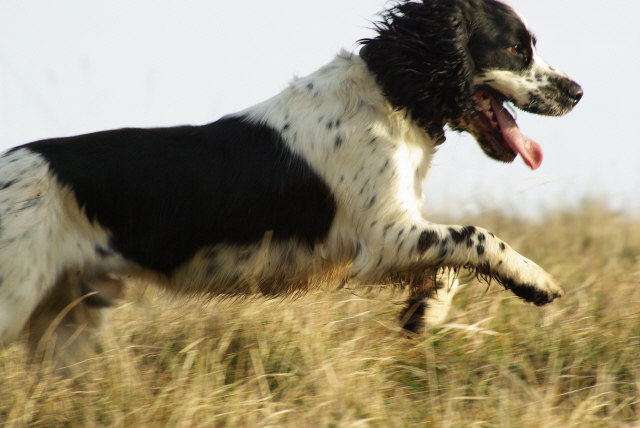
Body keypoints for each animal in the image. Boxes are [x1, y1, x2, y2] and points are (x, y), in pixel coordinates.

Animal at [0, 0, 580, 368]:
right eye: (515, 48)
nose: (576, 90)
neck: (388, 93)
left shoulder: (402, 233)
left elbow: (451, 265)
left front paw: (424, 313)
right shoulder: (384, 238)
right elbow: (477, 236)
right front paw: (534, 280)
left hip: (67, 322)